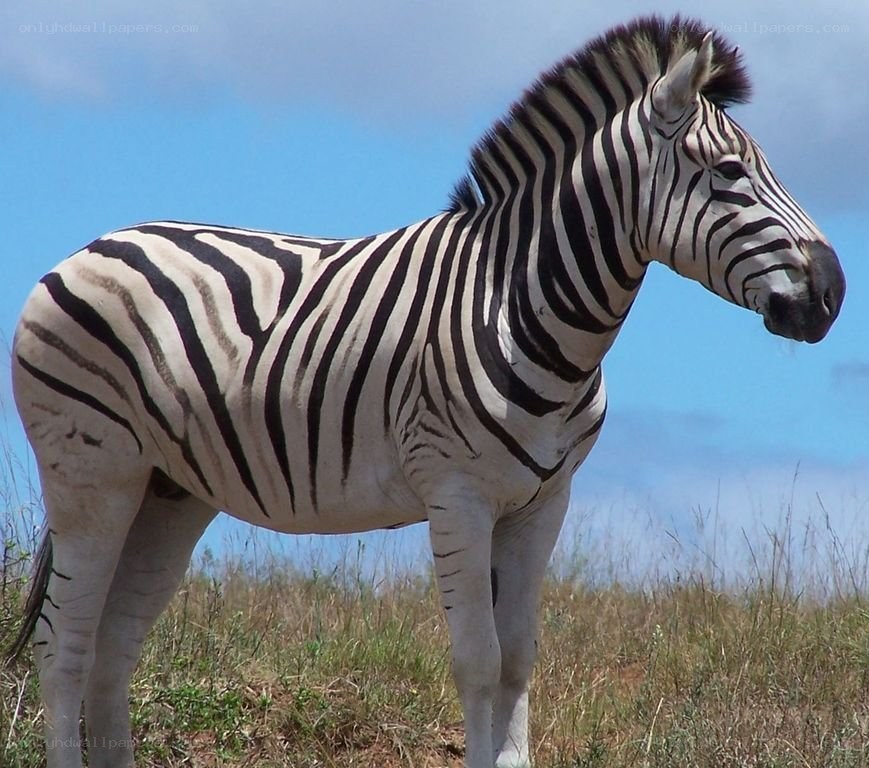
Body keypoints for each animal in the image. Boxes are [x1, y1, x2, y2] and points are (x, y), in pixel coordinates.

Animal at [7, 15, 844, 768]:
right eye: (727, 172)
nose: (832, 294)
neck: (515, 301)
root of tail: (91, 246)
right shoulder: (457, 496)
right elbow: (478, 661)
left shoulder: (542, 503)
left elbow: (518, 658)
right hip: (92, 472)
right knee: (63, 646)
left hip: (168, 491)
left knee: (113, 647)